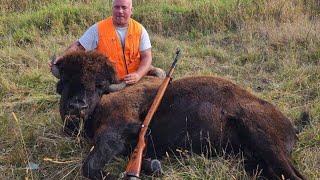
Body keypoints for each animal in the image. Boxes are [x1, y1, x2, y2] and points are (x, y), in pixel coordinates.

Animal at [52, 50, 304, 180]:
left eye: (99, 84)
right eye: (66, 79)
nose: (77, 106)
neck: (108, 94)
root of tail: (290, 125)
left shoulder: (115, 130)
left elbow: (90, 166)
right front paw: (152, 166)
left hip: (267, 143)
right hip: (253, 160)